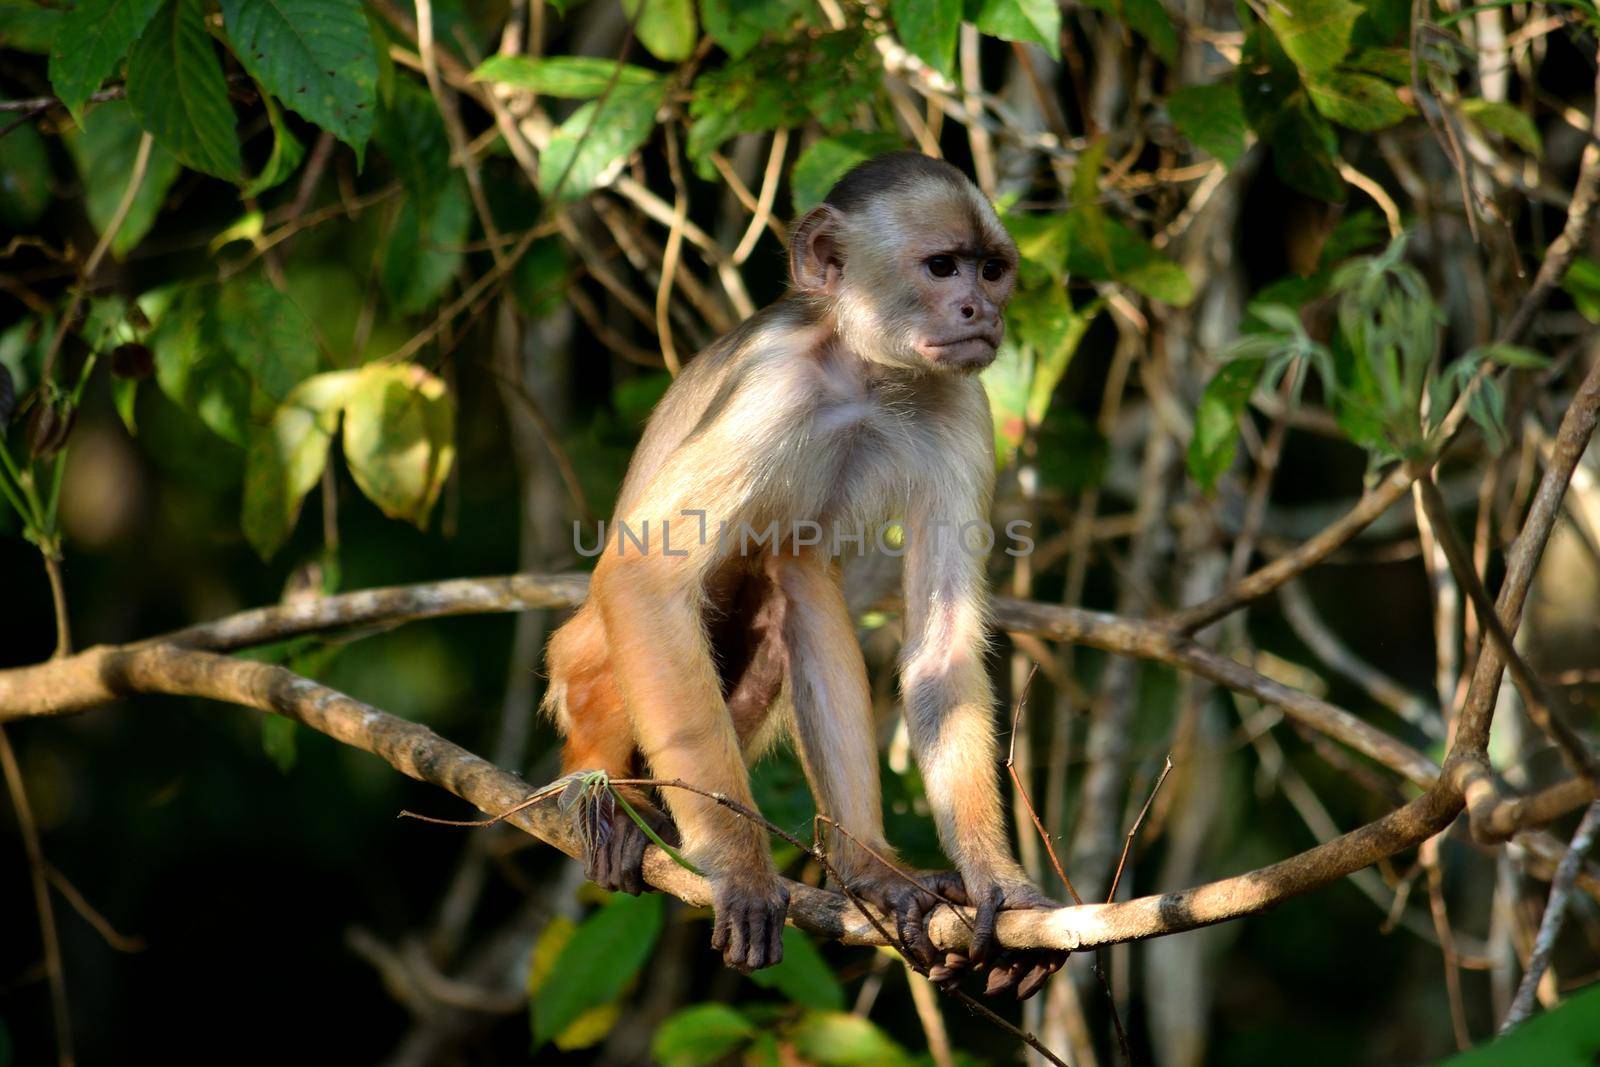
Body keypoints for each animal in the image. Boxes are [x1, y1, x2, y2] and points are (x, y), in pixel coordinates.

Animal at [547, 151, 1062, 1004]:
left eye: (992, 270)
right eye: (942, 267)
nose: (978, 309)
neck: (864, 372)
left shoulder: (964, 404)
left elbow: (939, 650)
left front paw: (1000, 882)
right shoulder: (774, 383)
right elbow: (643, 578)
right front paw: (741, 869)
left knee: (794, 576)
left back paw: (870, 872)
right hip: (583, 663)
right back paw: (606, 795)